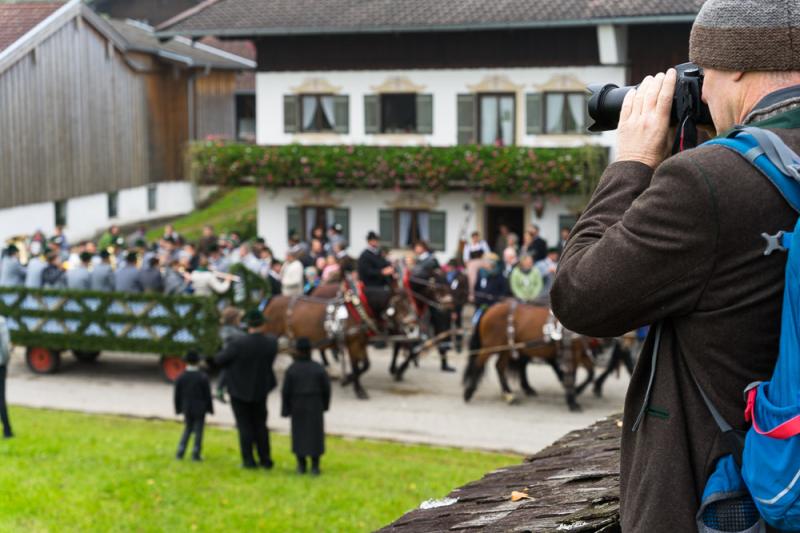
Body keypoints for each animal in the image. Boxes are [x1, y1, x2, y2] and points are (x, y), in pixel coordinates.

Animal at [462, 300, 595, 411]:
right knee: (479, 363)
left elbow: (590, 374)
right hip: (491, 345)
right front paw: (573, 401)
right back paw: (468, 392)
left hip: (507, 348)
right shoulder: (573, 352)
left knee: (499, 367)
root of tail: (490, 309)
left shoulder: (581, 353)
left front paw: (576, 392)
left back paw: (509, 395)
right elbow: (571, 376)